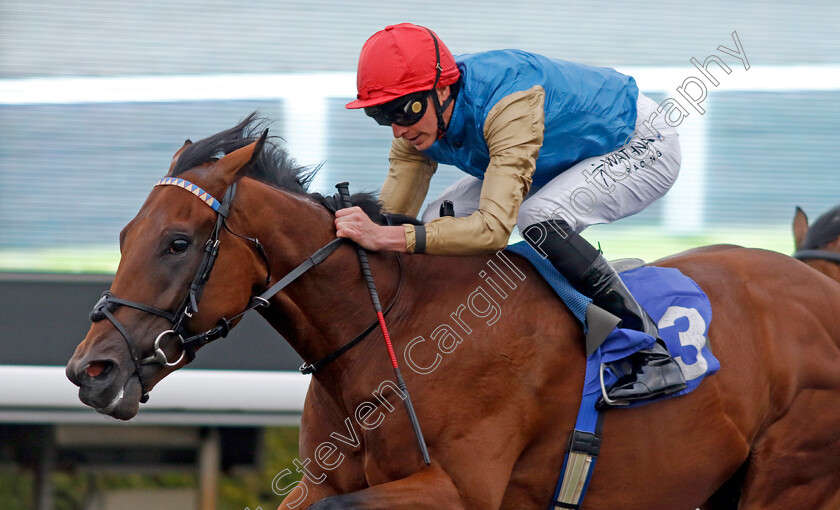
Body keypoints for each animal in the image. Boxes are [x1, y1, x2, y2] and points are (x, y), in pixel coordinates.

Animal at [69, 116, 840, 510]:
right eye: (124, 236)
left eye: (177, 242)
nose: (90, 370)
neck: (395, 329)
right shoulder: (325, 477)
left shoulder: (460, 487)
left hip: (790, 479)